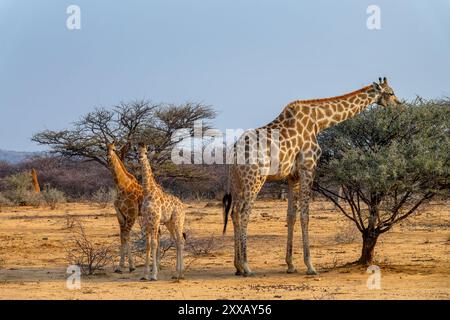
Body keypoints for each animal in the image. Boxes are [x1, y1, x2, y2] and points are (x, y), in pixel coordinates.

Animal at [106, 142, 142, 272]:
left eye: (114, 149)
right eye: (105, 148)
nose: (108, 157)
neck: (121, 186)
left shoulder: (132, 214)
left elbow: (126, 237)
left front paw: (131, 266)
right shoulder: (120, 215)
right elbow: (122, 237)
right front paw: (119, 266)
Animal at [138, 144, 185, 280]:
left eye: (146, 152)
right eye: (137, 151)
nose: (140, 157)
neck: (148, 191)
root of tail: (183, 206)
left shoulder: (154, 220)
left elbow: (154, 244)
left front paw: (154, 275)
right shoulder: (146, 221)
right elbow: (148, 244)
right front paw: (145, 275)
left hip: (178, 221)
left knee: (181, 241)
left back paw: (180, 273)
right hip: (169, 223)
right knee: (176, 241)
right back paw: (176, 273)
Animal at [223, 77, 402, 276]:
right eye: (391, 92)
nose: (399, 106)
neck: (319, 122)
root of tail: (234, 151)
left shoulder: (292, 176)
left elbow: (291, 216)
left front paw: (290, 265)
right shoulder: (308, 168)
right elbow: (305, 216)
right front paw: (310, 265)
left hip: (238, 182)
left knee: (234, 213)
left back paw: (238, 266)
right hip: (255, 179)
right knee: (243, 213)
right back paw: (246, 266)